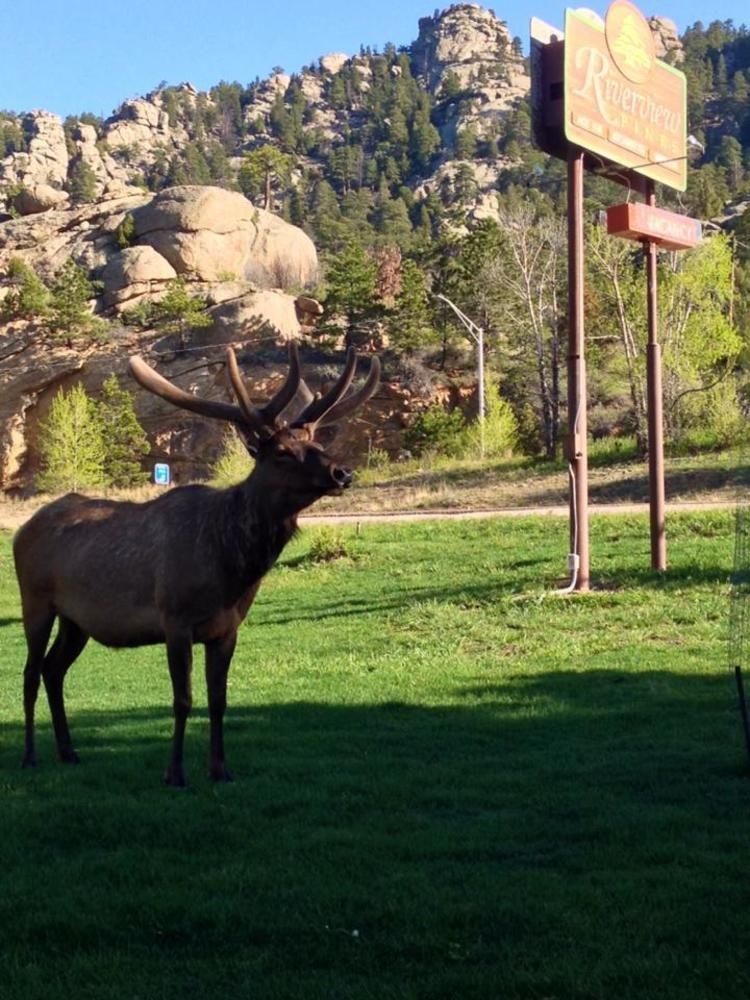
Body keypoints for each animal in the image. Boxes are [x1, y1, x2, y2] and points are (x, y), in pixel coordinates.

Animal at [16, 344, 382, 788]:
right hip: (35, 601)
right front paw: (174, 772)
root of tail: (22, 530)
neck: (230, 569)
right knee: (31, 672)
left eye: (314, 441)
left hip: (76, 621)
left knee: (54, 670)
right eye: (281, 452)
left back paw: (69, 752)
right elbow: (183, 698)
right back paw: (30, 756)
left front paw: (220, 768)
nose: (342, 472)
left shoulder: (227, 629)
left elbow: (218, 699)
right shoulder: (175, 620)